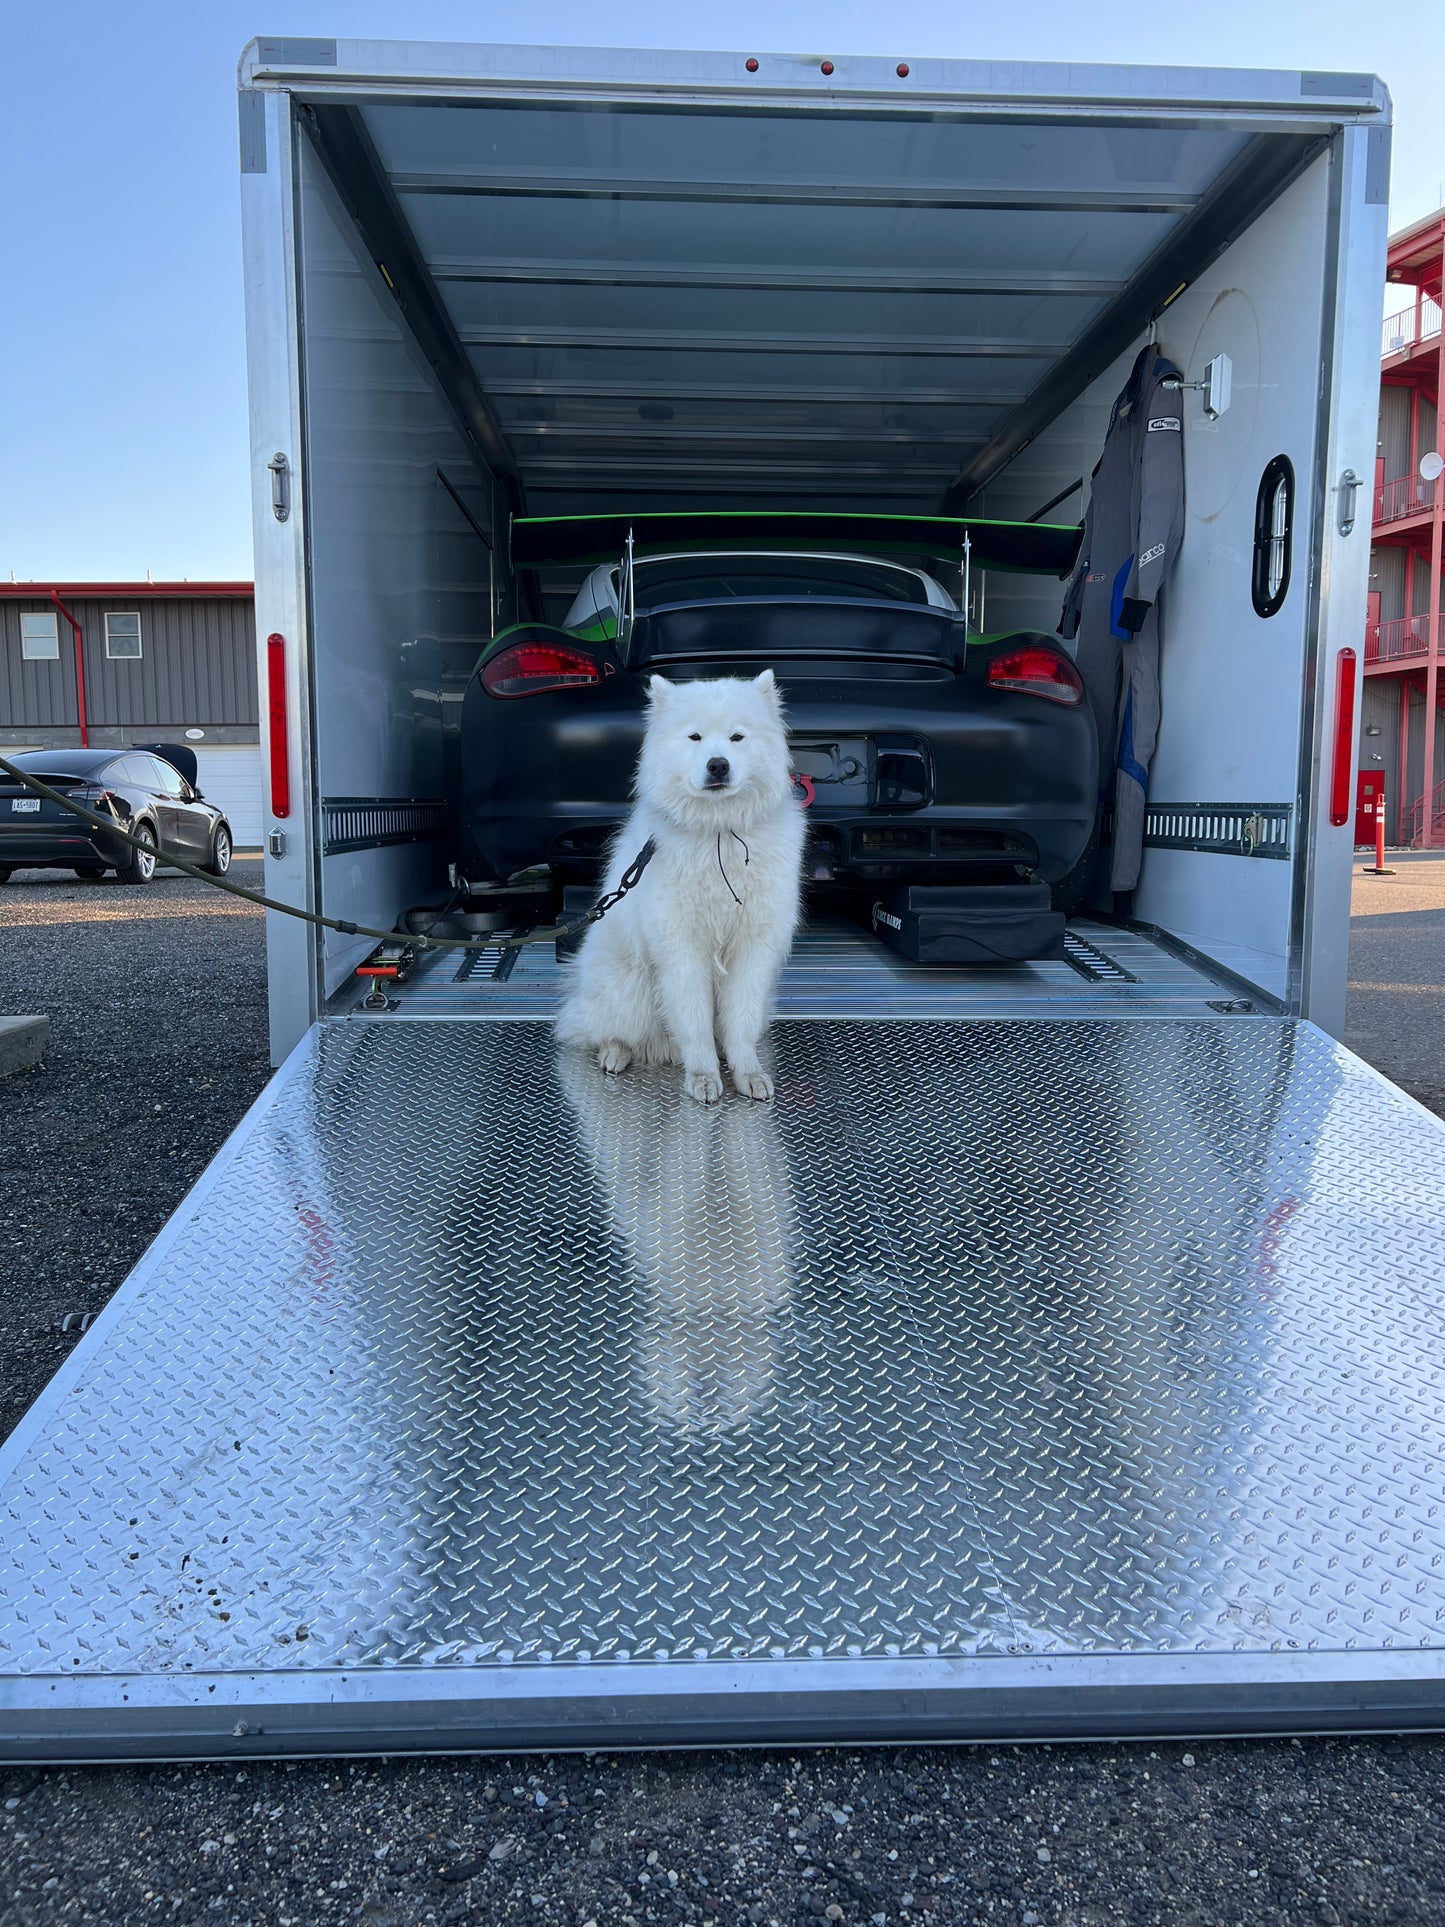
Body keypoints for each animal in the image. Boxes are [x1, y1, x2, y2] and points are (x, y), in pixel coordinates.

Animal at [558, 674, 809, 1102]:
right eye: (694, 737)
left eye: (737, 737)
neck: (719, 832)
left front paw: (748, 1073)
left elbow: (740, 1021)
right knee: (604, 1029)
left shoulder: (753, 948)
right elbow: (693, 1022)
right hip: (631, 987)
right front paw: (704, 1077)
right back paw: (615, 1053)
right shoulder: (682, 948)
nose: (718, 764)